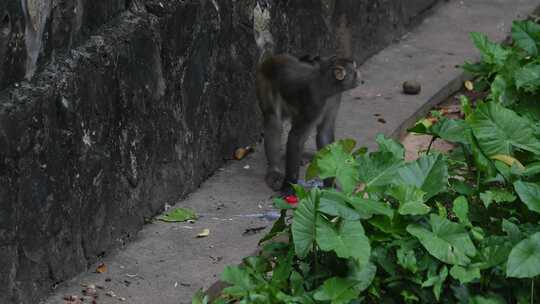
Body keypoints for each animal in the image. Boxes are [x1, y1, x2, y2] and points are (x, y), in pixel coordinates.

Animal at [256, 53, 360, 194]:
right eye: (355, 70)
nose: (360, 77)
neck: (326, 85)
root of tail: (270, 60)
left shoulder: (335, 98)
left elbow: (324, 133)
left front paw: (330, 185)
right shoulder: (314, 103)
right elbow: (295, 138)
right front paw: (288, 187)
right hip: (264, 82)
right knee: (273, 121)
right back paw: (274, 170)